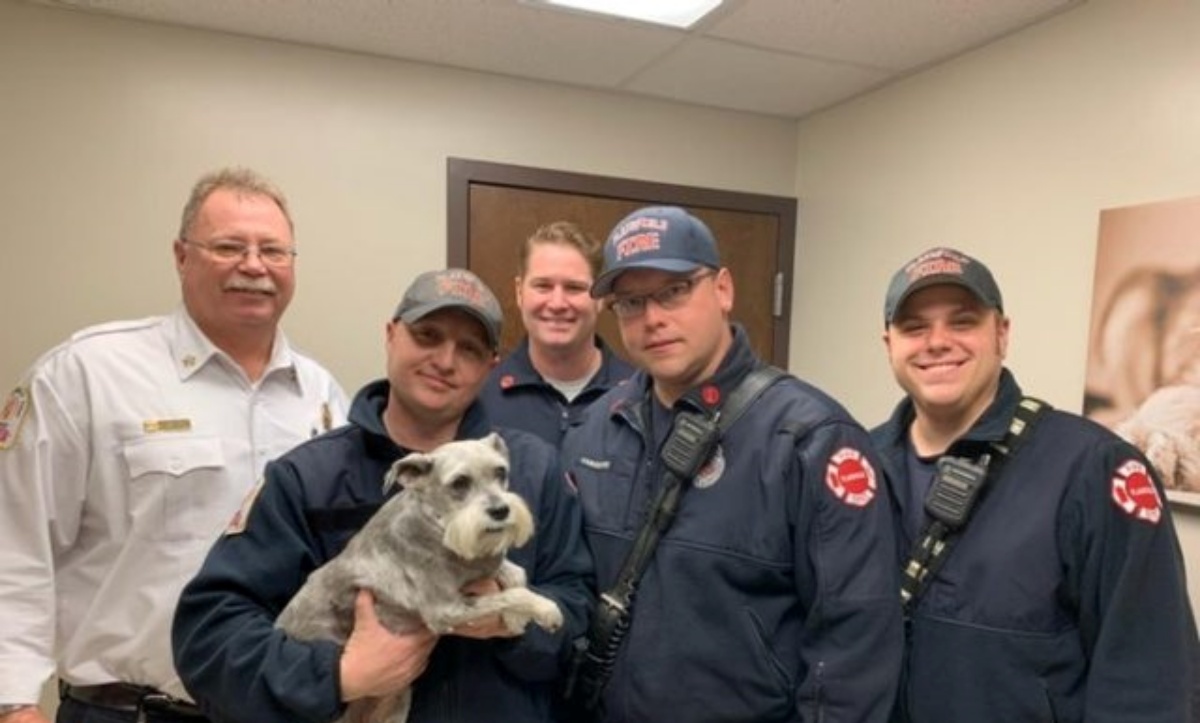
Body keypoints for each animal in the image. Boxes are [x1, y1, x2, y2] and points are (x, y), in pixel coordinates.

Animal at [278, 429, 564, 720]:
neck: (437, 525)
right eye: (459, 483)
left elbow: (517, 575)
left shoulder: (483, 566)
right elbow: (514, 594)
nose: (501, 510)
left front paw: (515, 619)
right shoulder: (446, 610)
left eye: (500, 472)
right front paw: (546, 611)